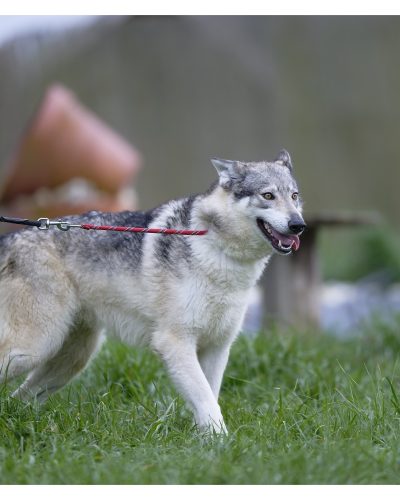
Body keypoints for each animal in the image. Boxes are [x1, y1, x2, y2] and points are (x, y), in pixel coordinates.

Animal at [0, 148, 304, 434]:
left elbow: (209, 397)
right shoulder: (175, 342)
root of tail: (11, 237)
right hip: (34, 348)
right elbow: (207, 400)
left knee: (20, 398)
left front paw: (206, 441)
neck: (216, 247)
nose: (298, 225)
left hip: (72, 358)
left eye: (294, 196)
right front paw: (222, 441)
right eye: (268, 195)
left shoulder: (217, 347)